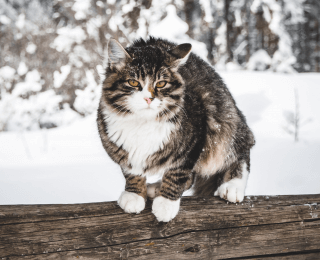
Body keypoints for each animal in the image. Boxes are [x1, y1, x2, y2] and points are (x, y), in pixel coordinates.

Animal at [96, 36, 254, 222]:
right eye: (133, 82)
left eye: (161, 84)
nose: (149, 98)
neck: (142, 122)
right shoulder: (119, 147)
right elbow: (131, 171)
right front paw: (134, 194)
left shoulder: (195, 139)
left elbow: (177, 174)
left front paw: (166, 204)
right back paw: (155, 187)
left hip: (225, 128)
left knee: (241, 151)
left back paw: (232, 185)